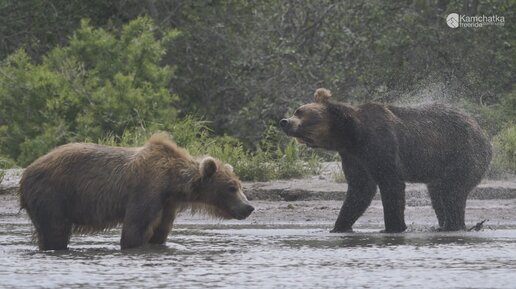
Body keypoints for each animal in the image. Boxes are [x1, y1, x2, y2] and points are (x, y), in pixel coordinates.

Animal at [19, 132, 254, 249]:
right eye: (231, 188)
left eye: (240, 186)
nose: (249, 207)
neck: (171, 183)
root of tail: (27, 171)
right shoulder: (146, 190)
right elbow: (134, 230)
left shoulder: (167, 204)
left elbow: (159, 232)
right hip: (52, 194)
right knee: (55, 231)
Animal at [282, 88, 492, 232]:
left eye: (300, 112)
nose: (284, 121)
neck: (353, 136)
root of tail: (483, 134)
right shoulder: (354, 157)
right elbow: (360, 190)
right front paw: (339, 226)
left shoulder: (380, 145)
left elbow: (391, 184)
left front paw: (393, 226)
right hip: (440, 167)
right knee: (438, 194)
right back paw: (444, 225)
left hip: (463, 154)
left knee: (452, 193)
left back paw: (453, 225)